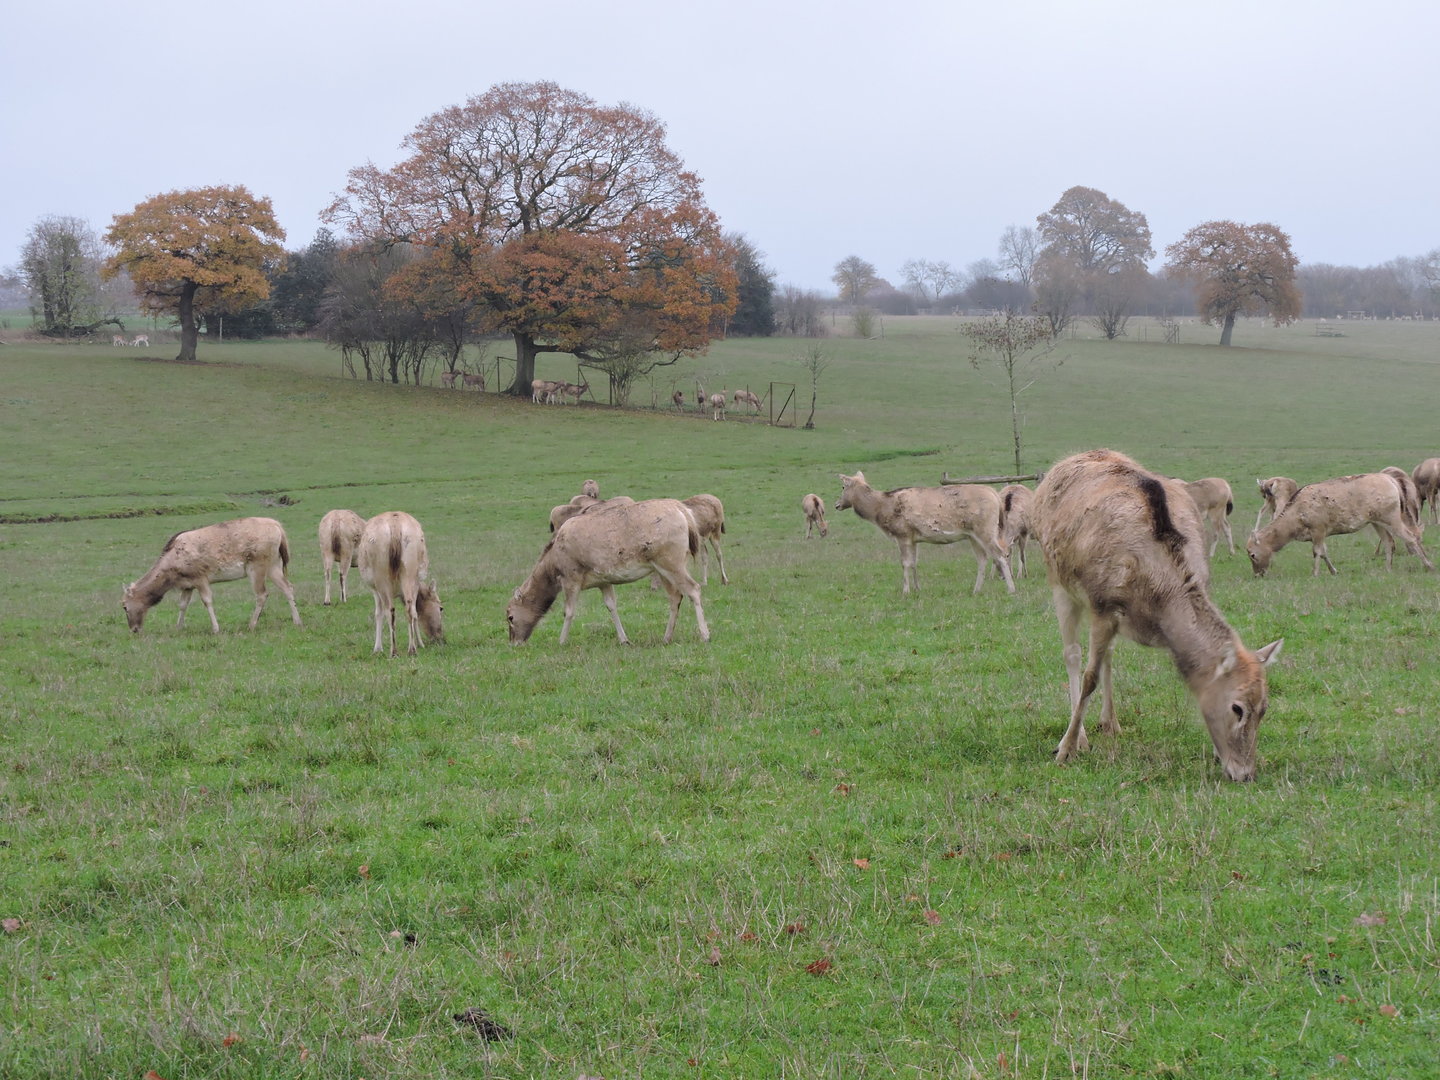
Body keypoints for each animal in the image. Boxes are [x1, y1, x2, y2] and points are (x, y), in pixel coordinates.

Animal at [1032, 449, 1283, 782]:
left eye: (1265, 707)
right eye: (1237, 708)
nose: (1245, 774)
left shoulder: (1114, 616)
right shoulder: (1102, 604)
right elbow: (1089, 677)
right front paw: (1066, 749)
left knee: (1108, 654)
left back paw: (1111, 722)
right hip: (1059, 580)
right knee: (1072, 654)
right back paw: (1081, 736)